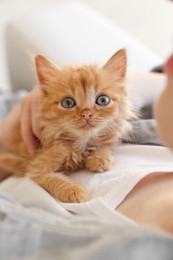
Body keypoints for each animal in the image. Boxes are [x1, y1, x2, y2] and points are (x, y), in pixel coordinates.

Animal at [0, 48, 133, 203]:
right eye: (68, 103)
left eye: (103, 100)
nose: (86, 114)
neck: (80, 144)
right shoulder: (36, 168)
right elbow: (53, 179)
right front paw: (74, 191)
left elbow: (105, 145)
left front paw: (99, 158)